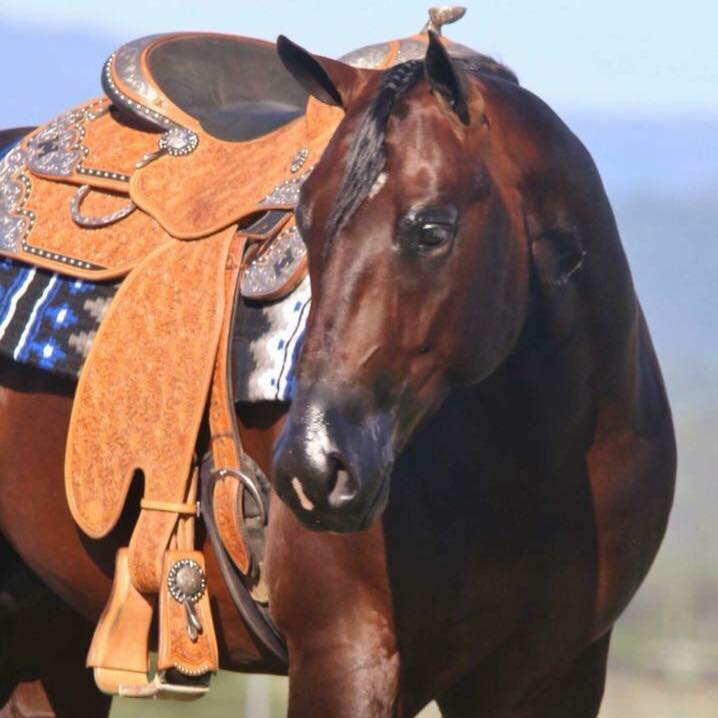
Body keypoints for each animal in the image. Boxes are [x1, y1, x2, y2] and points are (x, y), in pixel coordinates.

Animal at [0, 31, 675, 718]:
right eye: (303, 220)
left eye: (433, 228)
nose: (312, 469)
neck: (534, 462)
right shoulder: (348, 657)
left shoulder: (552, 675)